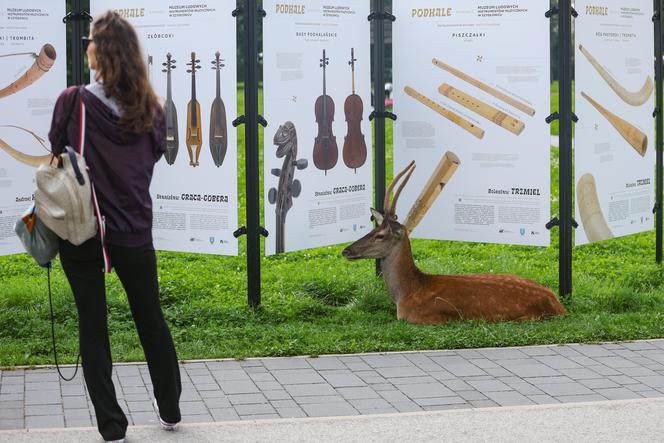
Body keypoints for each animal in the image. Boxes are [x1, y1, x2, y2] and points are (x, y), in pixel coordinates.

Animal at [342, 161, 564, 324]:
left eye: (380, 235)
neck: (407, 294)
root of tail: (559, 306)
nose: (346, 250)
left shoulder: (427, 318)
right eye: (372, 229)